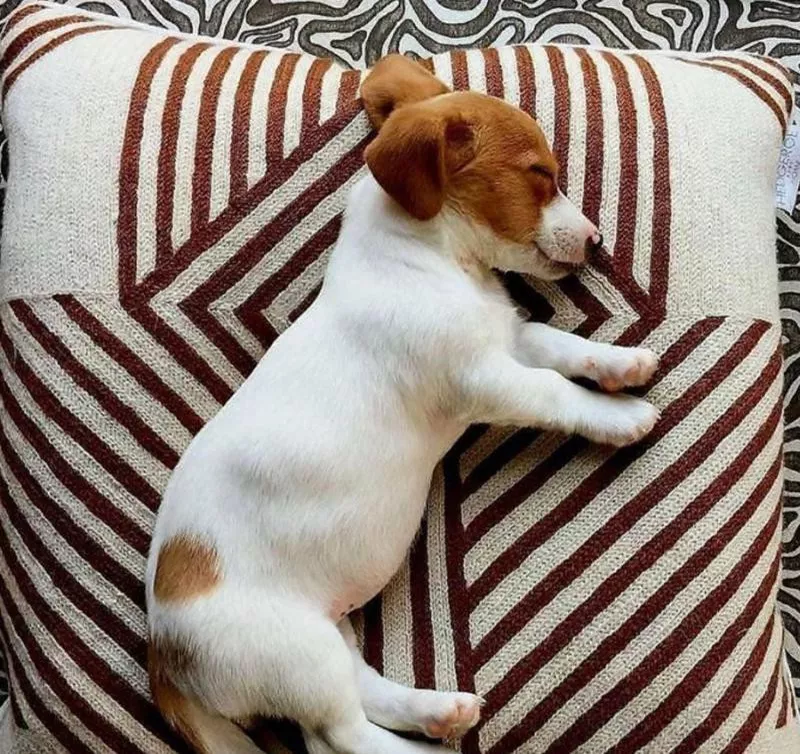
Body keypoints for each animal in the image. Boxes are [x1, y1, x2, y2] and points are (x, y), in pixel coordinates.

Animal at [147, 53, 660, 752]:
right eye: (540, 174)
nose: (599, 239)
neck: (429, 262)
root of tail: (164, 649)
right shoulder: (484, 377)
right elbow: (555, 391)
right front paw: (622, 416)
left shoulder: (510, 339)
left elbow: (563, 344)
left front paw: (622, 363)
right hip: (293, 651)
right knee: (341, 737)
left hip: (323, 637)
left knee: (355, 700)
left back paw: (439, 710)